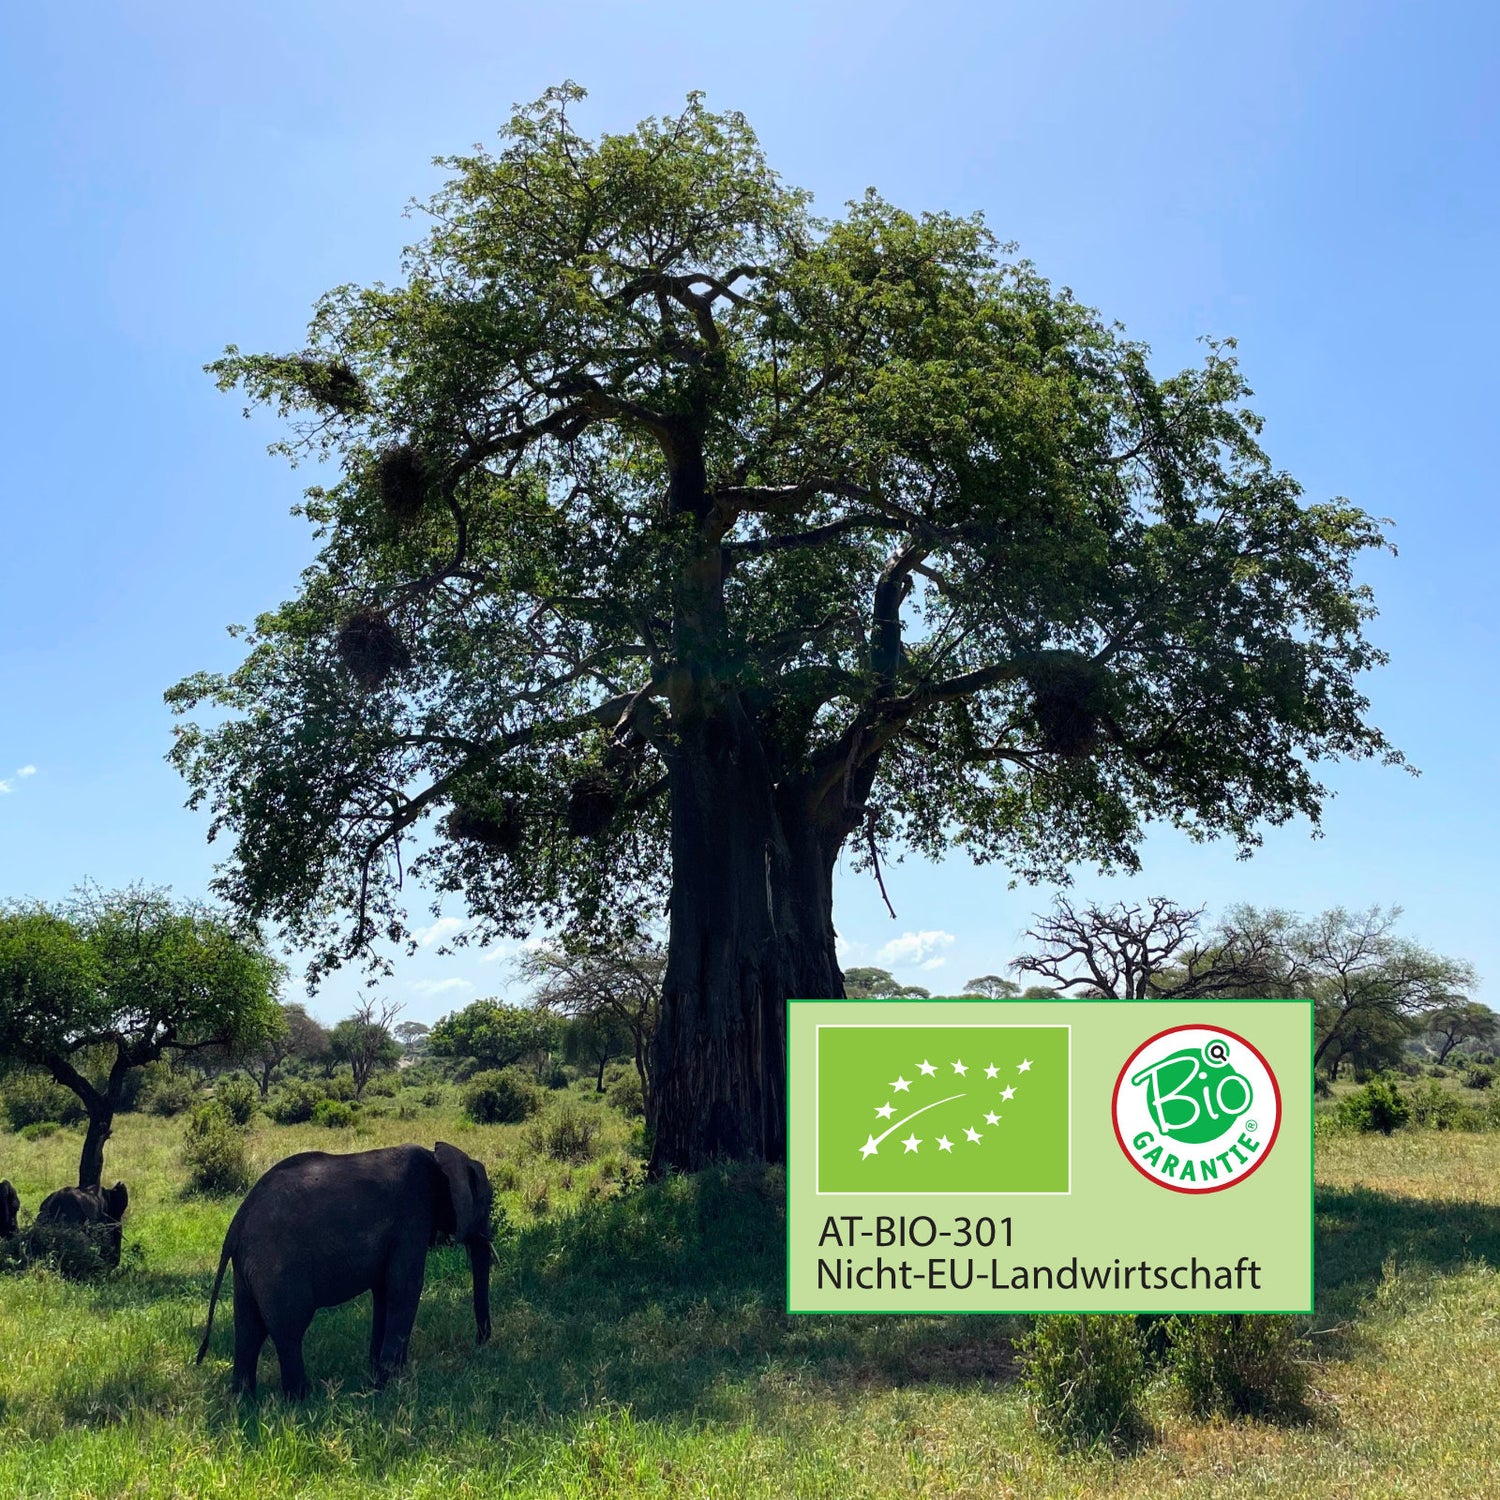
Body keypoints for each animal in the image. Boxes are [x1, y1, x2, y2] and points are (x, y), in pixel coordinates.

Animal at [195, 1140, 492, 1398]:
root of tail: (237, 1223)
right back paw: (301, 1400)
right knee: (288, 1330)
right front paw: (390, 1384)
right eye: (488, 1202)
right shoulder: (412, 1218)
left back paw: (244, 1402)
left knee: (248, 1329)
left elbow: (384, 1294)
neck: (437, 1158)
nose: (480, 1343)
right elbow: (404, 1287)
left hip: (248, 1270)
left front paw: (377, 1376)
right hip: (278, 1266)